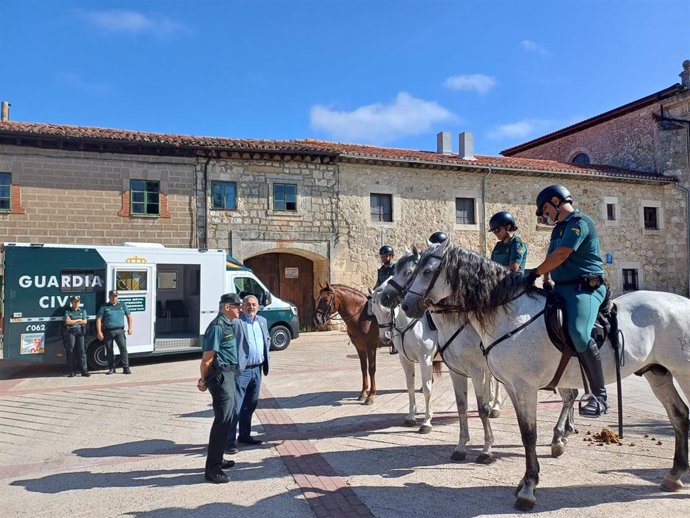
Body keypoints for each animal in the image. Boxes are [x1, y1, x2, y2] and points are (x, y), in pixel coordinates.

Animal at [400, 243, 688, 512]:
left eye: (426, 271)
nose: (404, 305)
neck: (510, 315)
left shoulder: (519, 386)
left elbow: (527, 434)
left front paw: (528, 487)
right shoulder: (506, 385)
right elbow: (504, 423)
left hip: (681, 372)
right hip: (657, 373)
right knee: (679, 415)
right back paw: (673, 475)